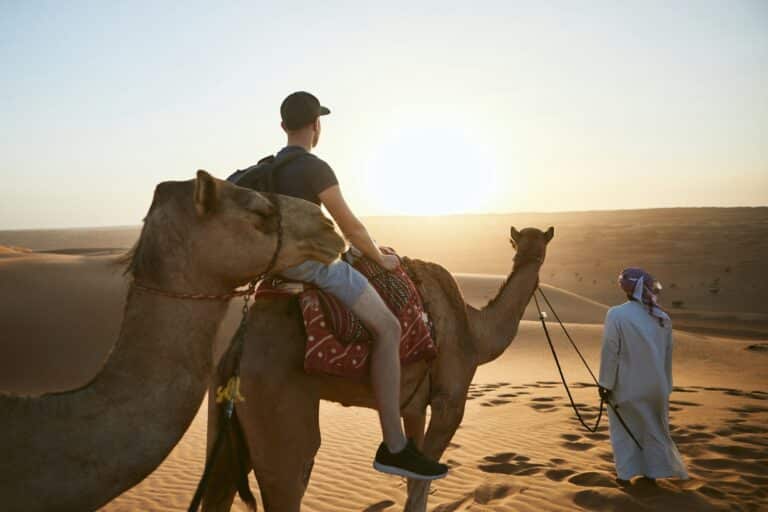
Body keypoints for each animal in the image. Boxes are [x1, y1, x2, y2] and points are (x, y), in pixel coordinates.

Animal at [201, 225, 556, 512]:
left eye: (538, 247)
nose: (534, 259)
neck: (474, 332)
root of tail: (237, 352)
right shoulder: (449, 403)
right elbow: (421, 484)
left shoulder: (413, 407)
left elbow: (414, 478)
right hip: (278, 414)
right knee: (291, 473)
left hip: (225, 418)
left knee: (217, 486)